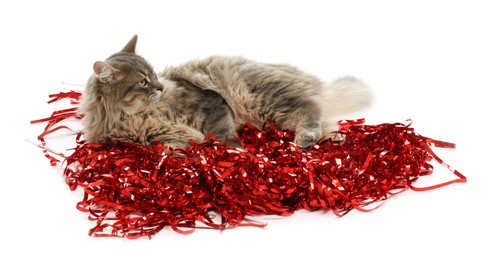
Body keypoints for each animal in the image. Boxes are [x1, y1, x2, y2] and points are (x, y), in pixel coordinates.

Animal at [80, 35, 374, 150]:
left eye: (153, 75)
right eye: (143, 82)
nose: (160, 87)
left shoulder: (212, 104)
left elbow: (222, 135)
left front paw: (237, 152)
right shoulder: (150, 137)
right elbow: (173, 144)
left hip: (258, 97)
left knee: (310, 109)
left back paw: (305, 140)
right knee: (324, 118)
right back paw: (332, 138)